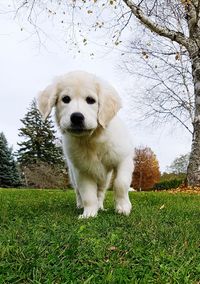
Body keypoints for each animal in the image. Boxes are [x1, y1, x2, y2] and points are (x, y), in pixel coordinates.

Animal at [38, 70, 134, 217]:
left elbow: (121, 184)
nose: (77, 117)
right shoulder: (82, 171)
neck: (91, 139)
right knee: (78, 192)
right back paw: (81, 205)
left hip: (104, 178)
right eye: (65, 99)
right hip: (73, 174)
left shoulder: (123, 159)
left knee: (101, 192)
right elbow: (87, 194)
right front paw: (88, 214)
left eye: (90, 100)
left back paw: (101, 206)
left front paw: (123, 208)